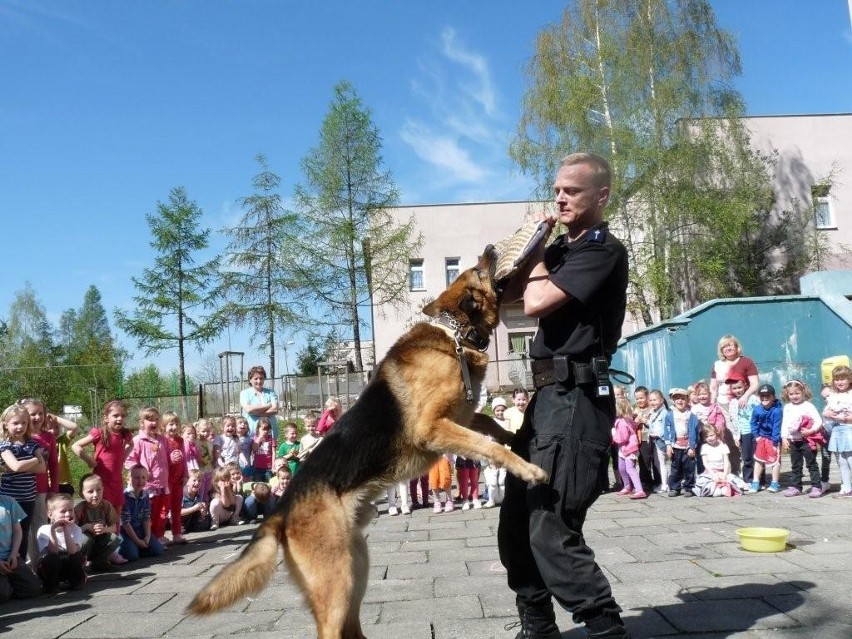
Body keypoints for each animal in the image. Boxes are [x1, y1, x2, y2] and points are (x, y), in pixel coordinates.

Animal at [188, 246, 544, 639]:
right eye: (477, 271)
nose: (490, 249)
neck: (454, 335)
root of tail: (281, 510)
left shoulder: (460, 416)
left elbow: (490, 426)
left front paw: (516, 436)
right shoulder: (433, 427)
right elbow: (487, 444)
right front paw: (529, 470)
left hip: (355, 568)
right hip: (337, 582)